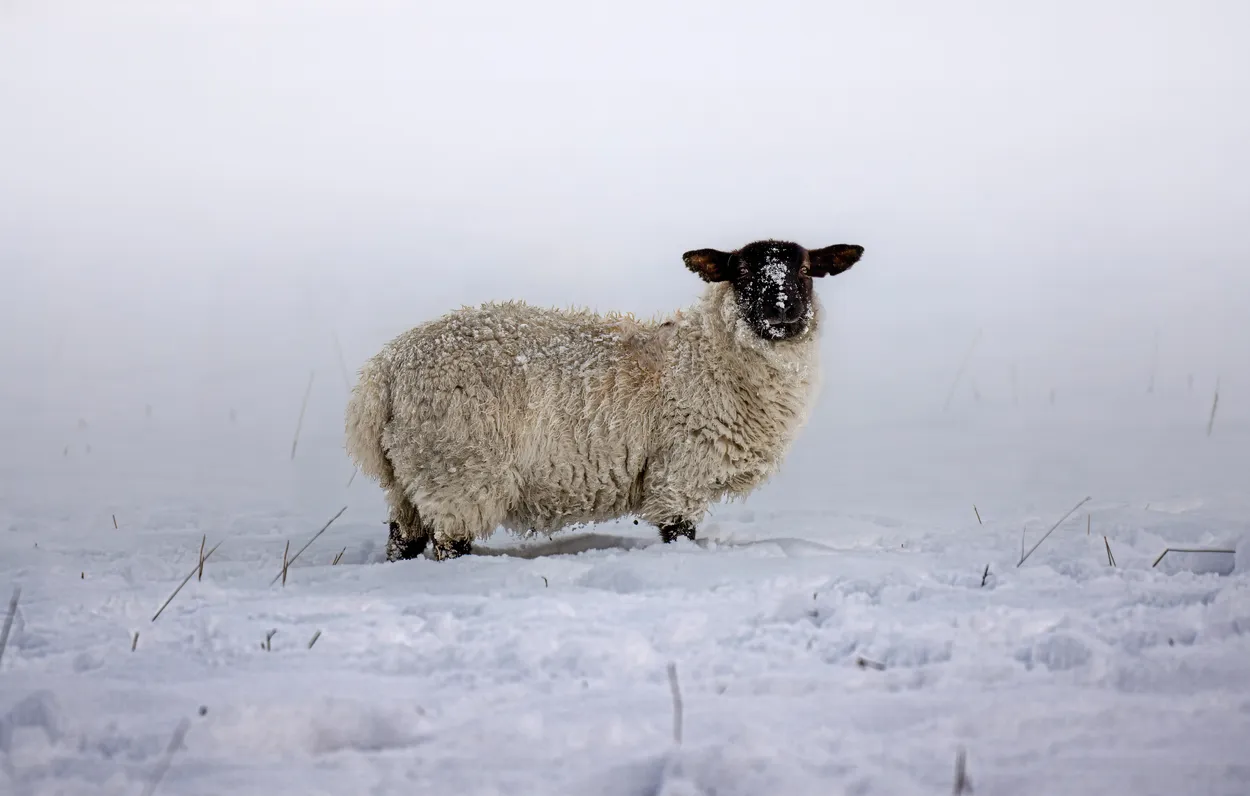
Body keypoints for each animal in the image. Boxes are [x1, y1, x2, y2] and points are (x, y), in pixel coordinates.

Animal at [344, 238, 865, 561]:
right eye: (740, 272)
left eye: (805, 270)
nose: (782, 311)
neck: (706, 356)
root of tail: (384, 372)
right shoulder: (680, 472)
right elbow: (678, 534)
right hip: (458, 470)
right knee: (449, 544)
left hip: (409, 477)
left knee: (402, 541)